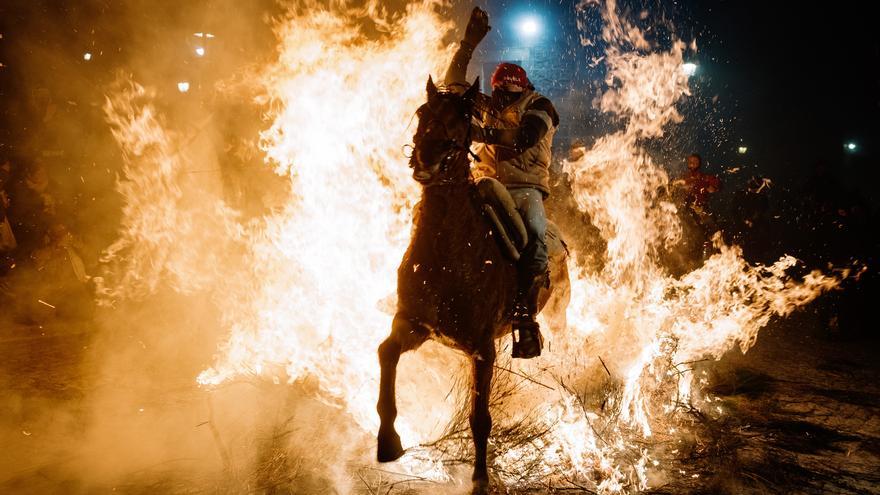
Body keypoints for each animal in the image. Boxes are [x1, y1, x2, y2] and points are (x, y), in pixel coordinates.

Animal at [374, 77, 568, 492]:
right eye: (422, 112)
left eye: (463, 118)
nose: (426, 158)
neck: (451, 252)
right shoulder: (414, 325)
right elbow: (386, 353)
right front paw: (388, 440)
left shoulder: (482, 350)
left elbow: (480, 419)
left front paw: (480, 479)